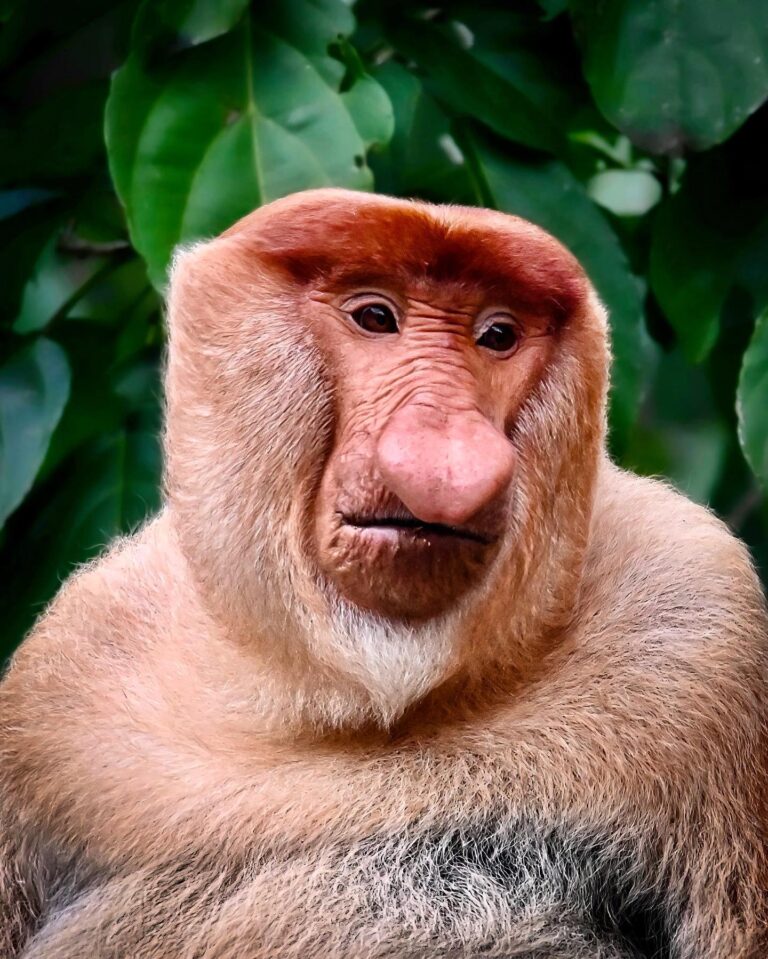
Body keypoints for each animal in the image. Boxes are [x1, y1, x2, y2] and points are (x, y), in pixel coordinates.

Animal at [1, 188, 767, 959]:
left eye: (497, 335)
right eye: (375, 317)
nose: (447, 454)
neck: (364, 699)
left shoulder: (705, 632)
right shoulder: (57, 691)